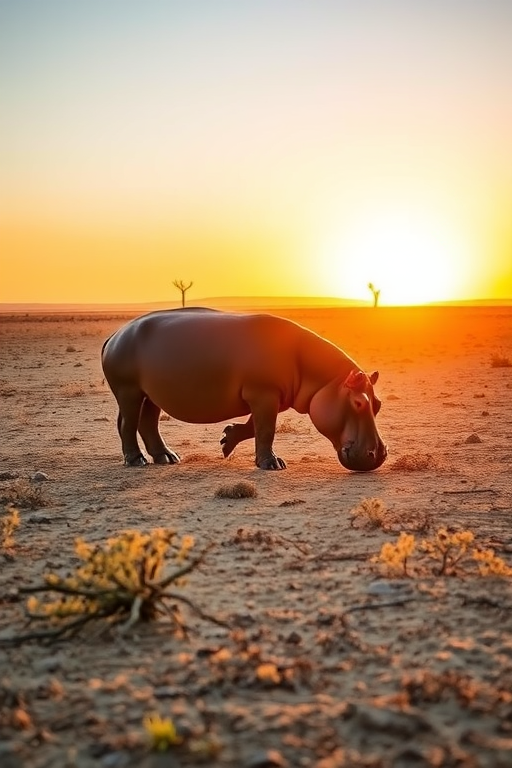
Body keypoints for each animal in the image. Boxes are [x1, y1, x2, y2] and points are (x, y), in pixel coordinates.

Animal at [101, 308, 387, 472]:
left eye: (379, 404)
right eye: (359, 402)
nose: (380, 455)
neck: (324, 379)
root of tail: (114, 335)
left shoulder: (269, 397)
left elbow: (254, 427)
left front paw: (227, 441)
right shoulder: (263, 394)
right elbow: (266, 429)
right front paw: (273, 465)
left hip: (151, 394)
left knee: (148, 422)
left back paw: (168, 458)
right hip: (129, 390)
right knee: (128, 422)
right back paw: (136, 461)